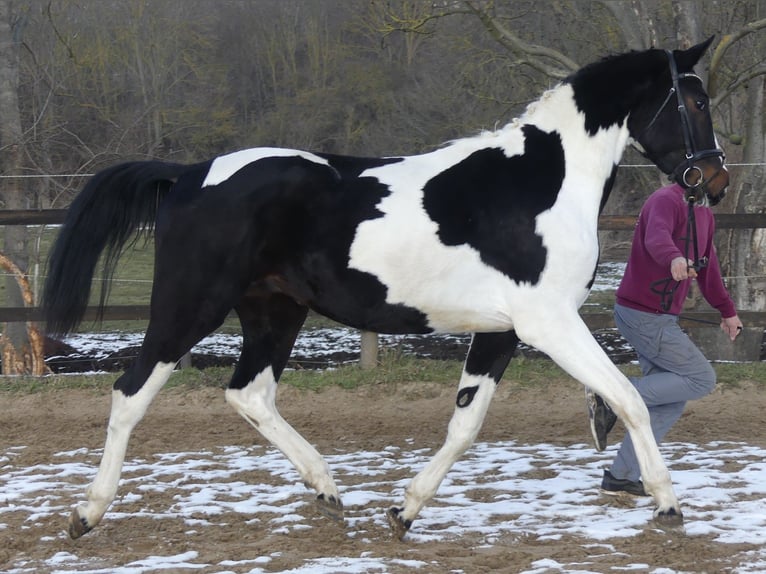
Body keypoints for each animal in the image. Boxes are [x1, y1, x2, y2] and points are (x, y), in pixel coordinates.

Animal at [43, 38, 732, 544]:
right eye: (694, 101)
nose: (716, 180)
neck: (543, 182)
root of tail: (188, 175)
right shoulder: (549, 322)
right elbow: (630, 399)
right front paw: (668, 505)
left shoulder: (500, 331)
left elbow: (465, 425)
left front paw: (403, 512)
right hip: (191, 306)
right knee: (130, 393)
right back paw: (86, 514)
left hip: (274, 311)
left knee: (249, 393)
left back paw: (327, 490)